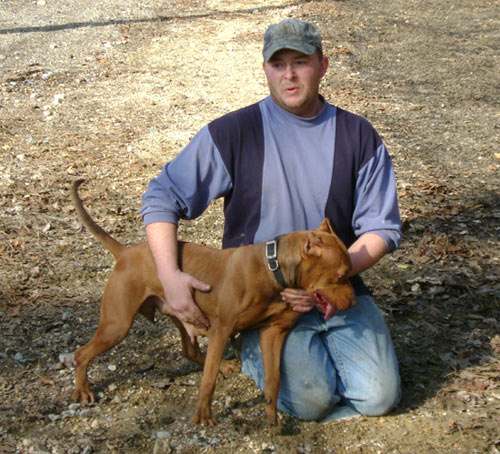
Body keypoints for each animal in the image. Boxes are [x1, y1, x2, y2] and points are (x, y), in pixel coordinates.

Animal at [70, 180, 356, 426]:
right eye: (341, 276)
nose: (353, 301)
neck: (272, 269)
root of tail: (126, 252)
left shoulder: (273, 333)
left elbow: (273, 379)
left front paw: (271, 415)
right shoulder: (222, 330)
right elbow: (207, 380)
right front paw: (203, 415)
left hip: (181, 317)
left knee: (191, 352)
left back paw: (225, 366)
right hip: (117, 325)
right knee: (80, 354)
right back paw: (83, 390)